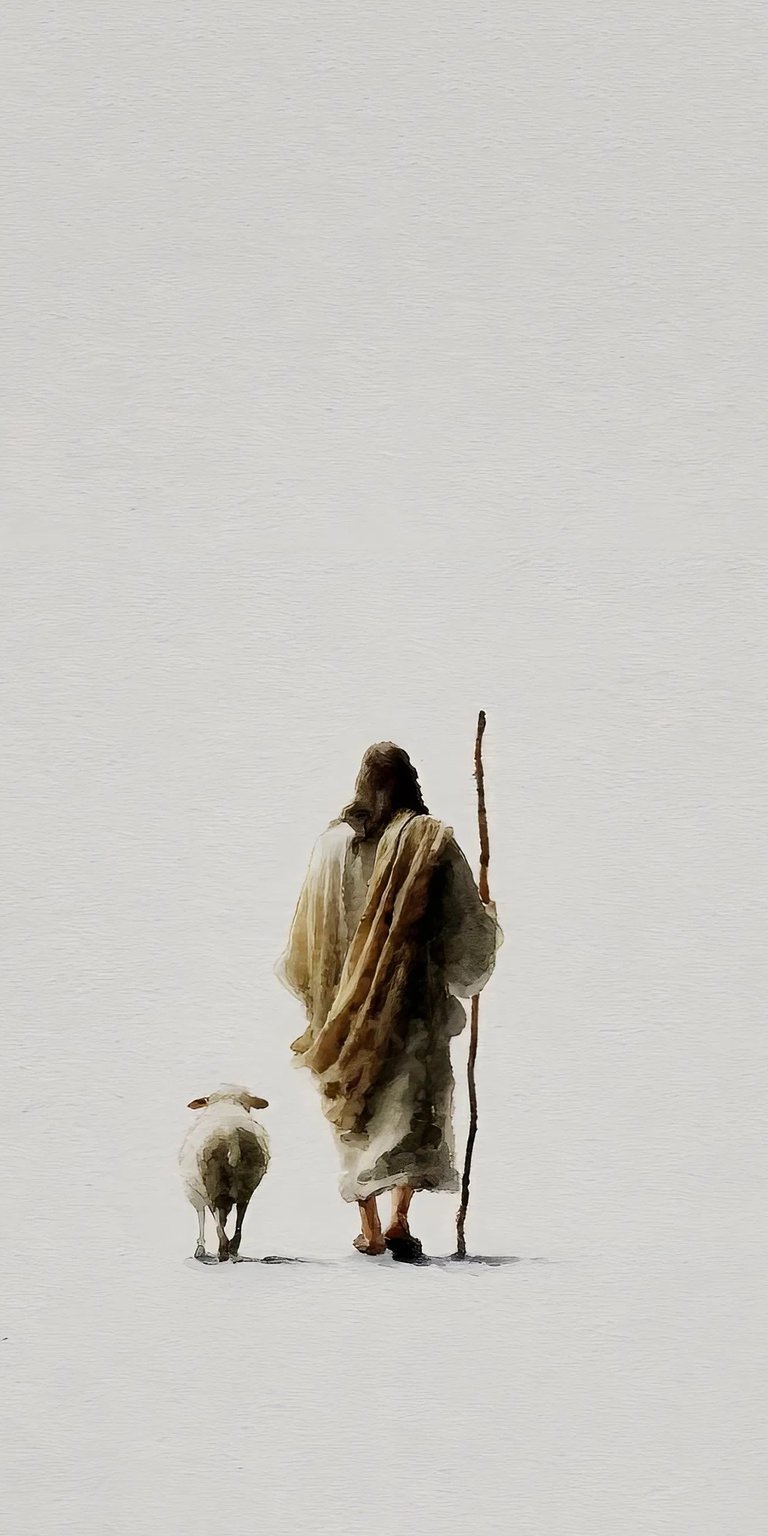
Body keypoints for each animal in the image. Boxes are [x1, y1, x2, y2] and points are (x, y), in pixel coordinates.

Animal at [179, 1084, 270, 1261]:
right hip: (248, 1183)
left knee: (218, 1216)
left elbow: (203, 1216)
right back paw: (233, 1248)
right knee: (240, 1213)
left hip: (213, 1183)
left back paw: (222, 1251)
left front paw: (201, 1248)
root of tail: (231, 1133)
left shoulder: (195, 1193)